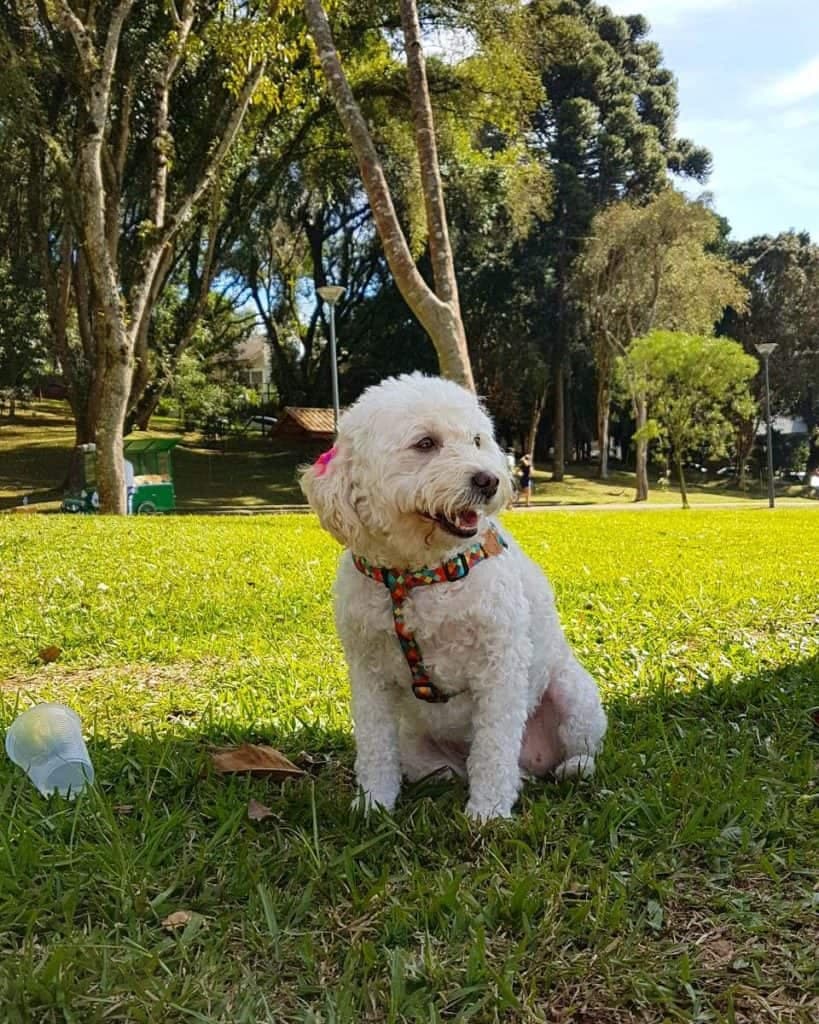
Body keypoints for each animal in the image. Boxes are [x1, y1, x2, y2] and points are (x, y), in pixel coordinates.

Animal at [296, 372, 606, 819]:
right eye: (425, 443)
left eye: (477, 440)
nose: (489, 480)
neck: (420, 573)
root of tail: (532, 761)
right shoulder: (369, 676)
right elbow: (374, 747)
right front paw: (373, 803)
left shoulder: (500, 668)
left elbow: (493, 748)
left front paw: (488, 812)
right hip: (413, 742)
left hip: (574, 697)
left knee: (575, 749)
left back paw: (572, 767)